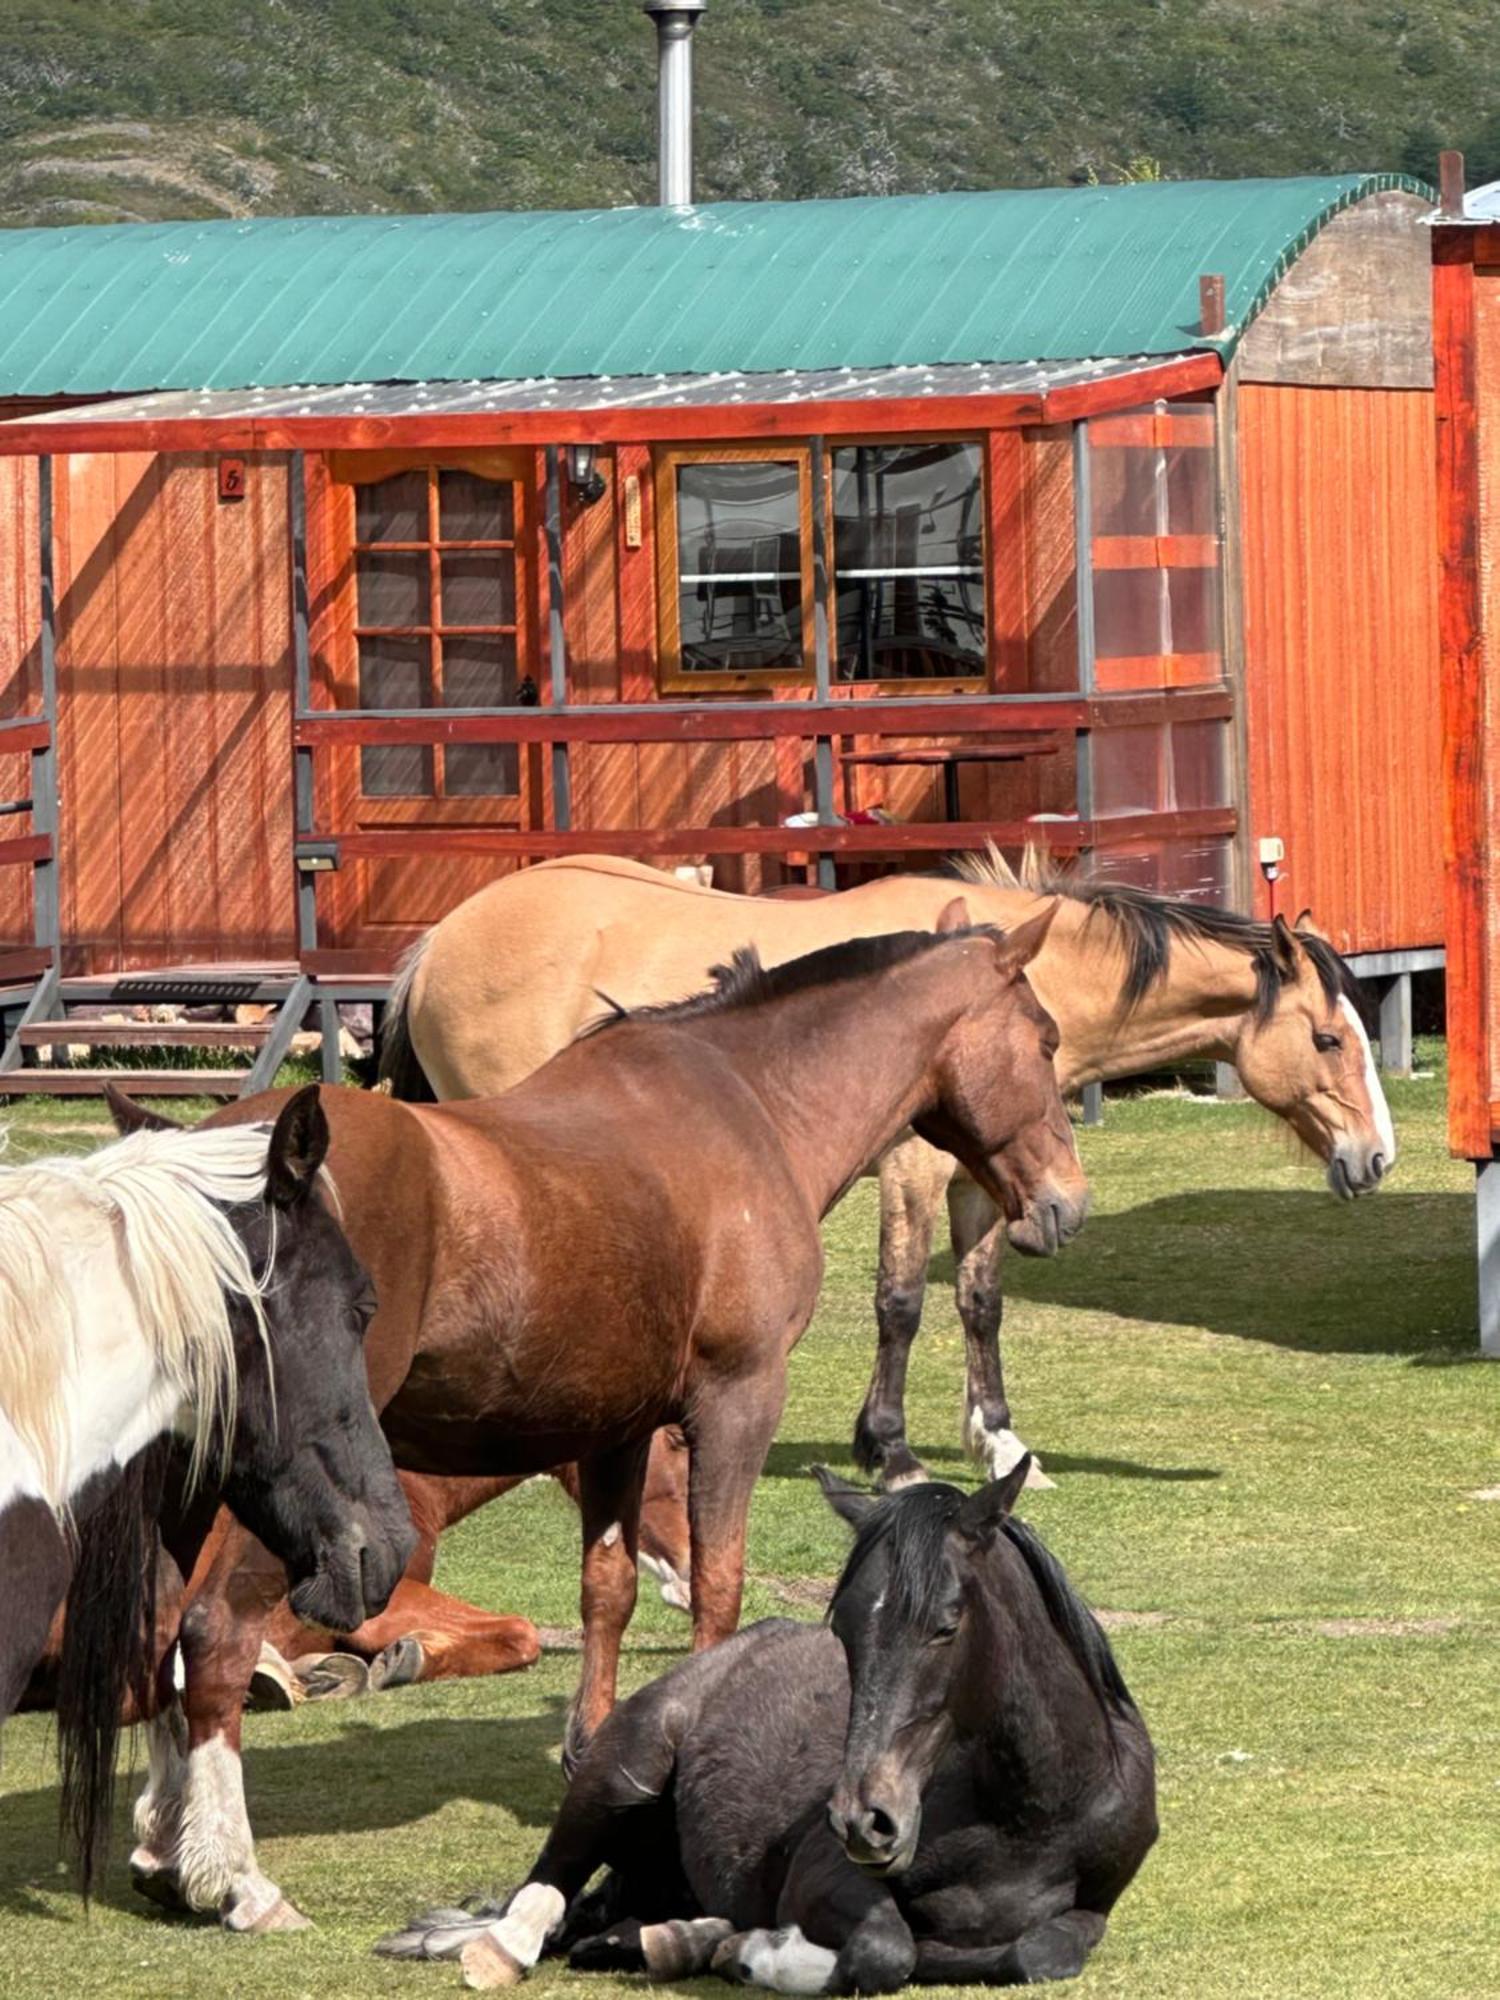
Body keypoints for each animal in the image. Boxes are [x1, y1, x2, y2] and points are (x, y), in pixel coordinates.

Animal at [111, 916, 1088, 1928]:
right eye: (1047, 1041)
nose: (1066, 1202)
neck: (748, 1105)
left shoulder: (618, 1429)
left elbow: (606, 1590)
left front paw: (595, 1753)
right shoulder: (738, 1400)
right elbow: (721, 1586)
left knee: (157, 1629)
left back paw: (161, 1843)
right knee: (215, 1632)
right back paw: (232, 1875)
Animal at [382, 1464, 1160, 1992]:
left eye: (946, 1625)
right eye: (843, 1629)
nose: (863, 1819)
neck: (1026, 1813)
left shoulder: (1093, 1908)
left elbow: (1038, 1953)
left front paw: (722, 1943)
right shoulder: (824, 1875)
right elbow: (889, 1950)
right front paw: (757, 1951)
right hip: (620, 1773)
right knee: (541, 1895)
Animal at [384, 844, 1400, 1488]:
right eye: (1325, 1037)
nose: (1377, 1156)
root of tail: (438, 941)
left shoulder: (987, 1182)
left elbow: (980, 1303)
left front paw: (1000, 1444)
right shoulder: (914, 1175)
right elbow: (902, 1305)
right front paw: (892, 1450)